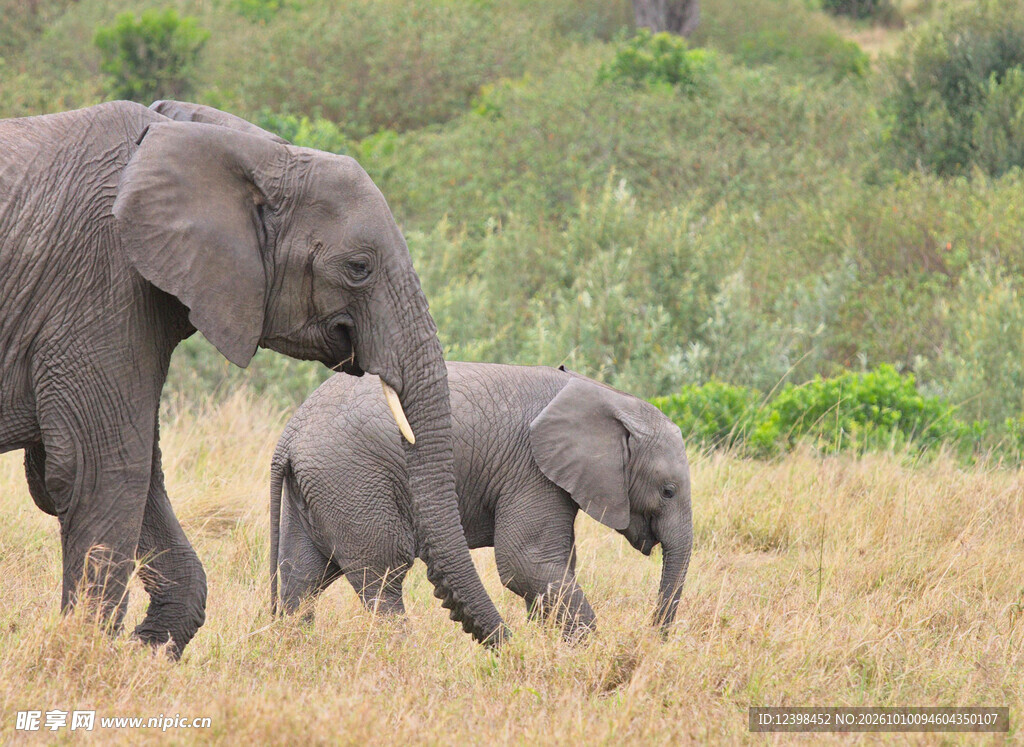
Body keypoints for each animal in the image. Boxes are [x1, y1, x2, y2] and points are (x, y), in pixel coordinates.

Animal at [0, 100, 505, 657]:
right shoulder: (100, 282)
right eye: (359, 267)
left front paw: (145, 652)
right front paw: (90, 656)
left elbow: (127, 473)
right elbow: (100, 468)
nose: (508, 645)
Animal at [270, 362, 693, 639]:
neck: (609, 398)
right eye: (668, 491)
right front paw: (586, 651)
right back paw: (401, 650)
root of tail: (289, 435)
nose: (650, 639)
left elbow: (550, 568)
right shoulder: (531, 471)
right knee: (383, 575)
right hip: (352, 479)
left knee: (302, 575)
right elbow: (524, 563)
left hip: (317, 488)